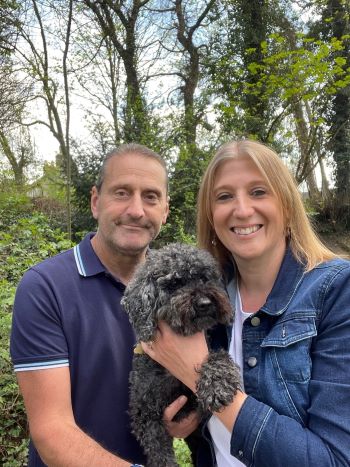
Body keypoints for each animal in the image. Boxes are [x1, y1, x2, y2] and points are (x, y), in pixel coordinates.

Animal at [122, 245, 241, 467]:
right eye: (174, 283)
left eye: (204, 278)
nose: (204, 303)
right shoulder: (145, 415)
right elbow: (160, 455)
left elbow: (218, 356)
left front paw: (218, 384)